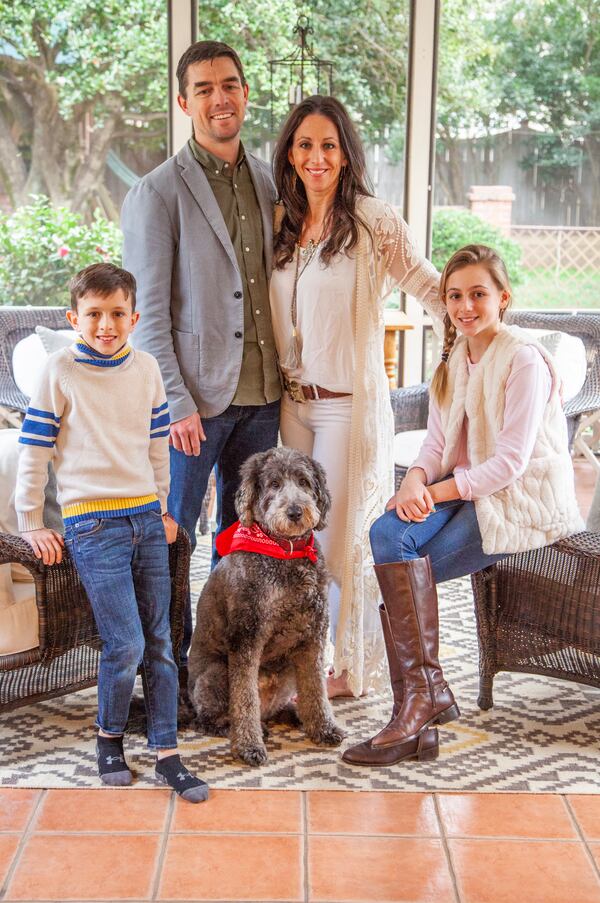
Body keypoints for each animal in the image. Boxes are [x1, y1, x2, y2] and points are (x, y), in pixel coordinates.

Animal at [188, 448, 346, 768]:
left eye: (304, 482)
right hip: (216, 672)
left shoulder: (314, 635)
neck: (285, 552)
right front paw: (249, 746)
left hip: (288, 669)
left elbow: (316, 688)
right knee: (206, 719)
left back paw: (293, 715)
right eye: (274, 484)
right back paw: (236, 726)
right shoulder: (246, 637)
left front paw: (323, 728)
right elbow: (245, 698)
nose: (295, 511)